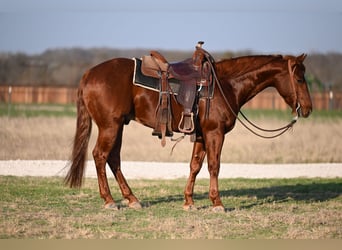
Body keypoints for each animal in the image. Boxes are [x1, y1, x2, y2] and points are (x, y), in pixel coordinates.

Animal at [65, 43, 312, 211]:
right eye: (300, 79)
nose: (308, 108)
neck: (225, 85)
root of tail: (89, 74)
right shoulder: (215, 133)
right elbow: (214, 166)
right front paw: (217, 203)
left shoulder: (201, 135)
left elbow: (195, 165)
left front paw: (189, 201)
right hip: (110, 126)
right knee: (100, 155)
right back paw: (109, 200)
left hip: (119, 126)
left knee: (113, 158)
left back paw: (132, 199)